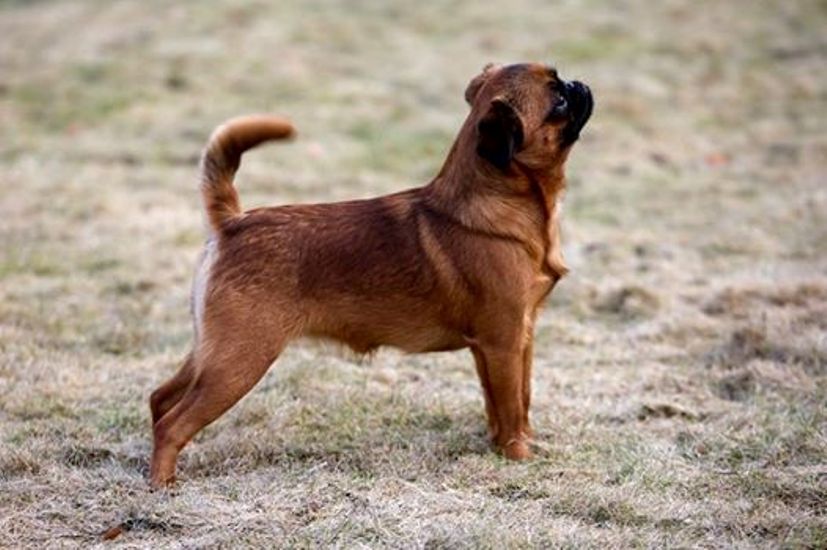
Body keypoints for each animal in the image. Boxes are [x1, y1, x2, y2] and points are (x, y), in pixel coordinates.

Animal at [149, 62, 593, 487]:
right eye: (557, 101)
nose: (579, 85)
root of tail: (233, 223)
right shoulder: (503, 343)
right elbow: (512, 404)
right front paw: (519, 457)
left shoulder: (512, 339)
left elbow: (512, 400)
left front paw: (508, 446)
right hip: (240, 360)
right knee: (173, 423)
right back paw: (163, 485)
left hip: (213, 350)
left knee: (160, 399)